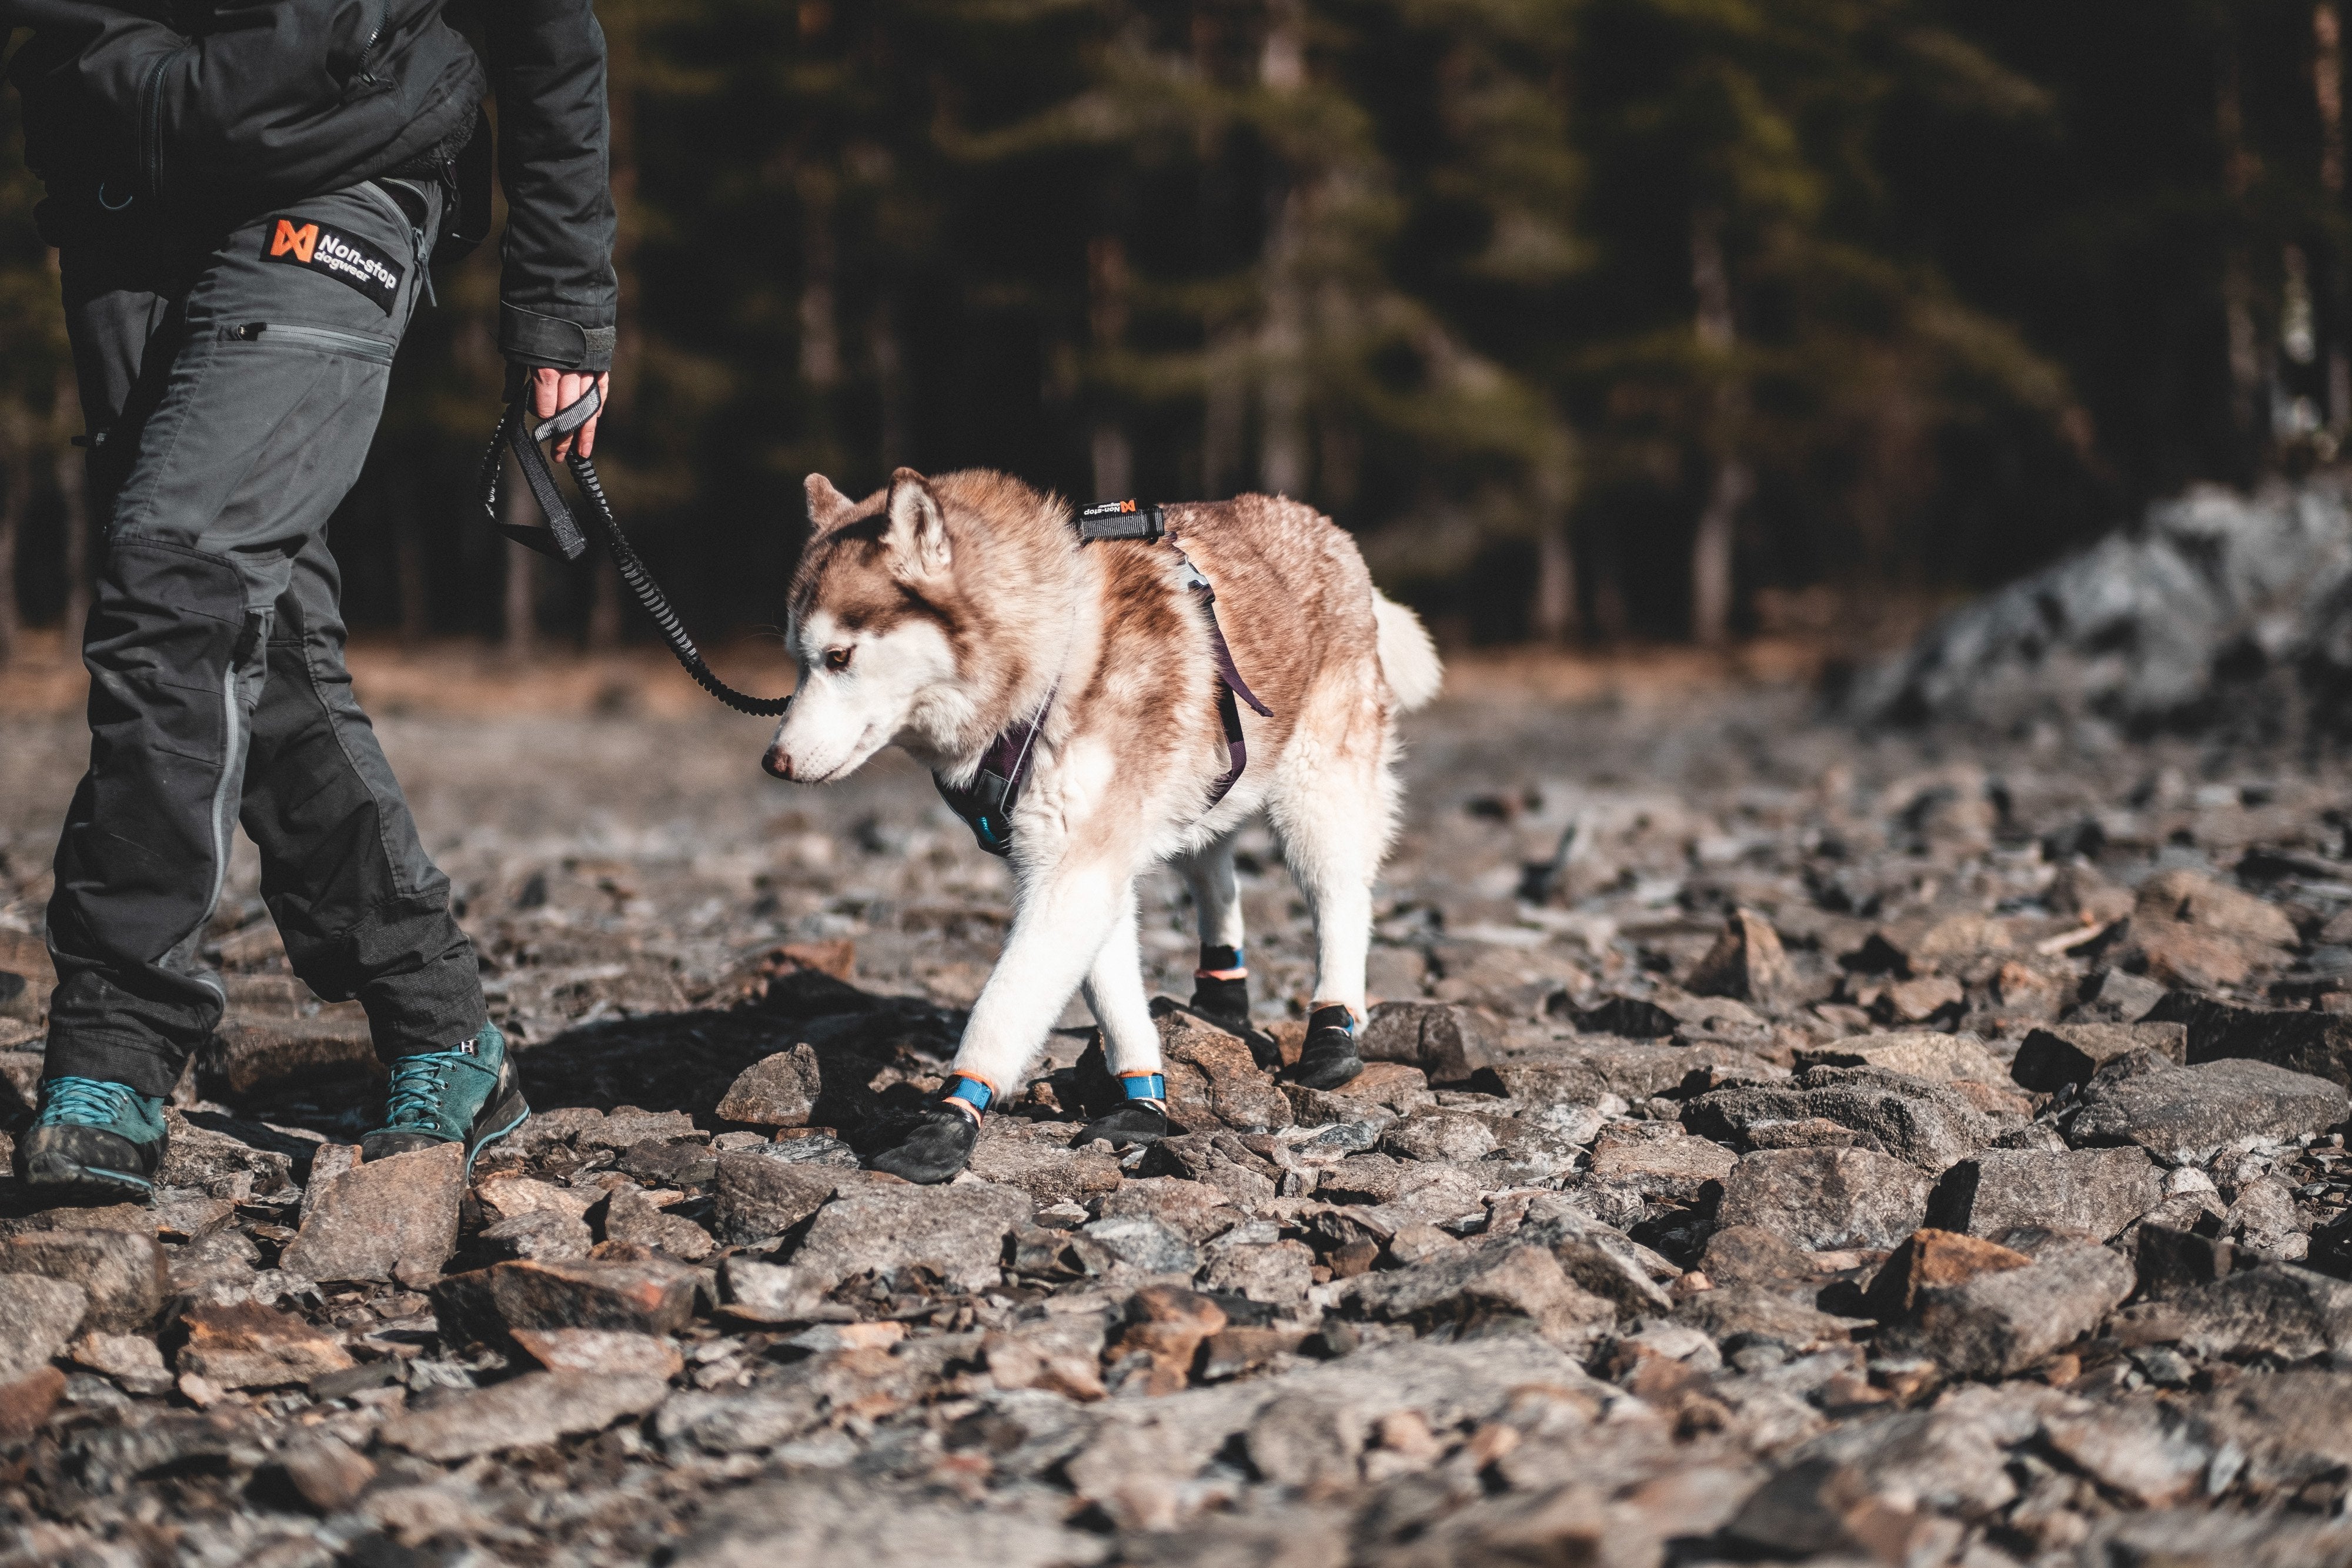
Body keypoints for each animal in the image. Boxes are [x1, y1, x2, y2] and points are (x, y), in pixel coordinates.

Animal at [762, 472, 1439, 1185]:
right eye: (798, 660)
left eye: (839, 656)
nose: (773, 762)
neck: (1049, 660)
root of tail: (1320, 523)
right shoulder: (1076, 859)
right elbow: (1114, 999)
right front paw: (1143, 1102)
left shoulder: (1076, 869)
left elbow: (1003, 1006)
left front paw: (950, 1119)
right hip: (1209, 785)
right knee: (1214, 872)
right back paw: (1219, 996)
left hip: (1316, 798)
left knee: (1341, 901)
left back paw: (1334, 1031)